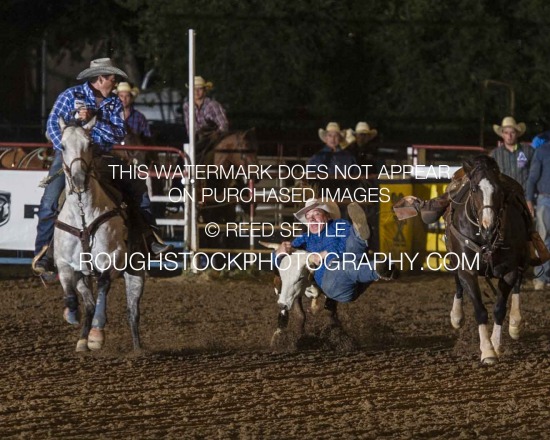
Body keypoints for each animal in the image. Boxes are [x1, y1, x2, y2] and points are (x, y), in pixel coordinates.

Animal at [53, 118, 143, 352]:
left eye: (90, 144)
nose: (78, 179)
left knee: (132, 311)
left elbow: (103, 286)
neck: (83, 216)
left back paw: (138, 349)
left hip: (136, 271)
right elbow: (69, 292)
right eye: (62, 146)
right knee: (90, 305)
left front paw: (97, 334)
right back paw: (81, 341)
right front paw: (71, 314)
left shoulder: (112, 257)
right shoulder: (64, 263)